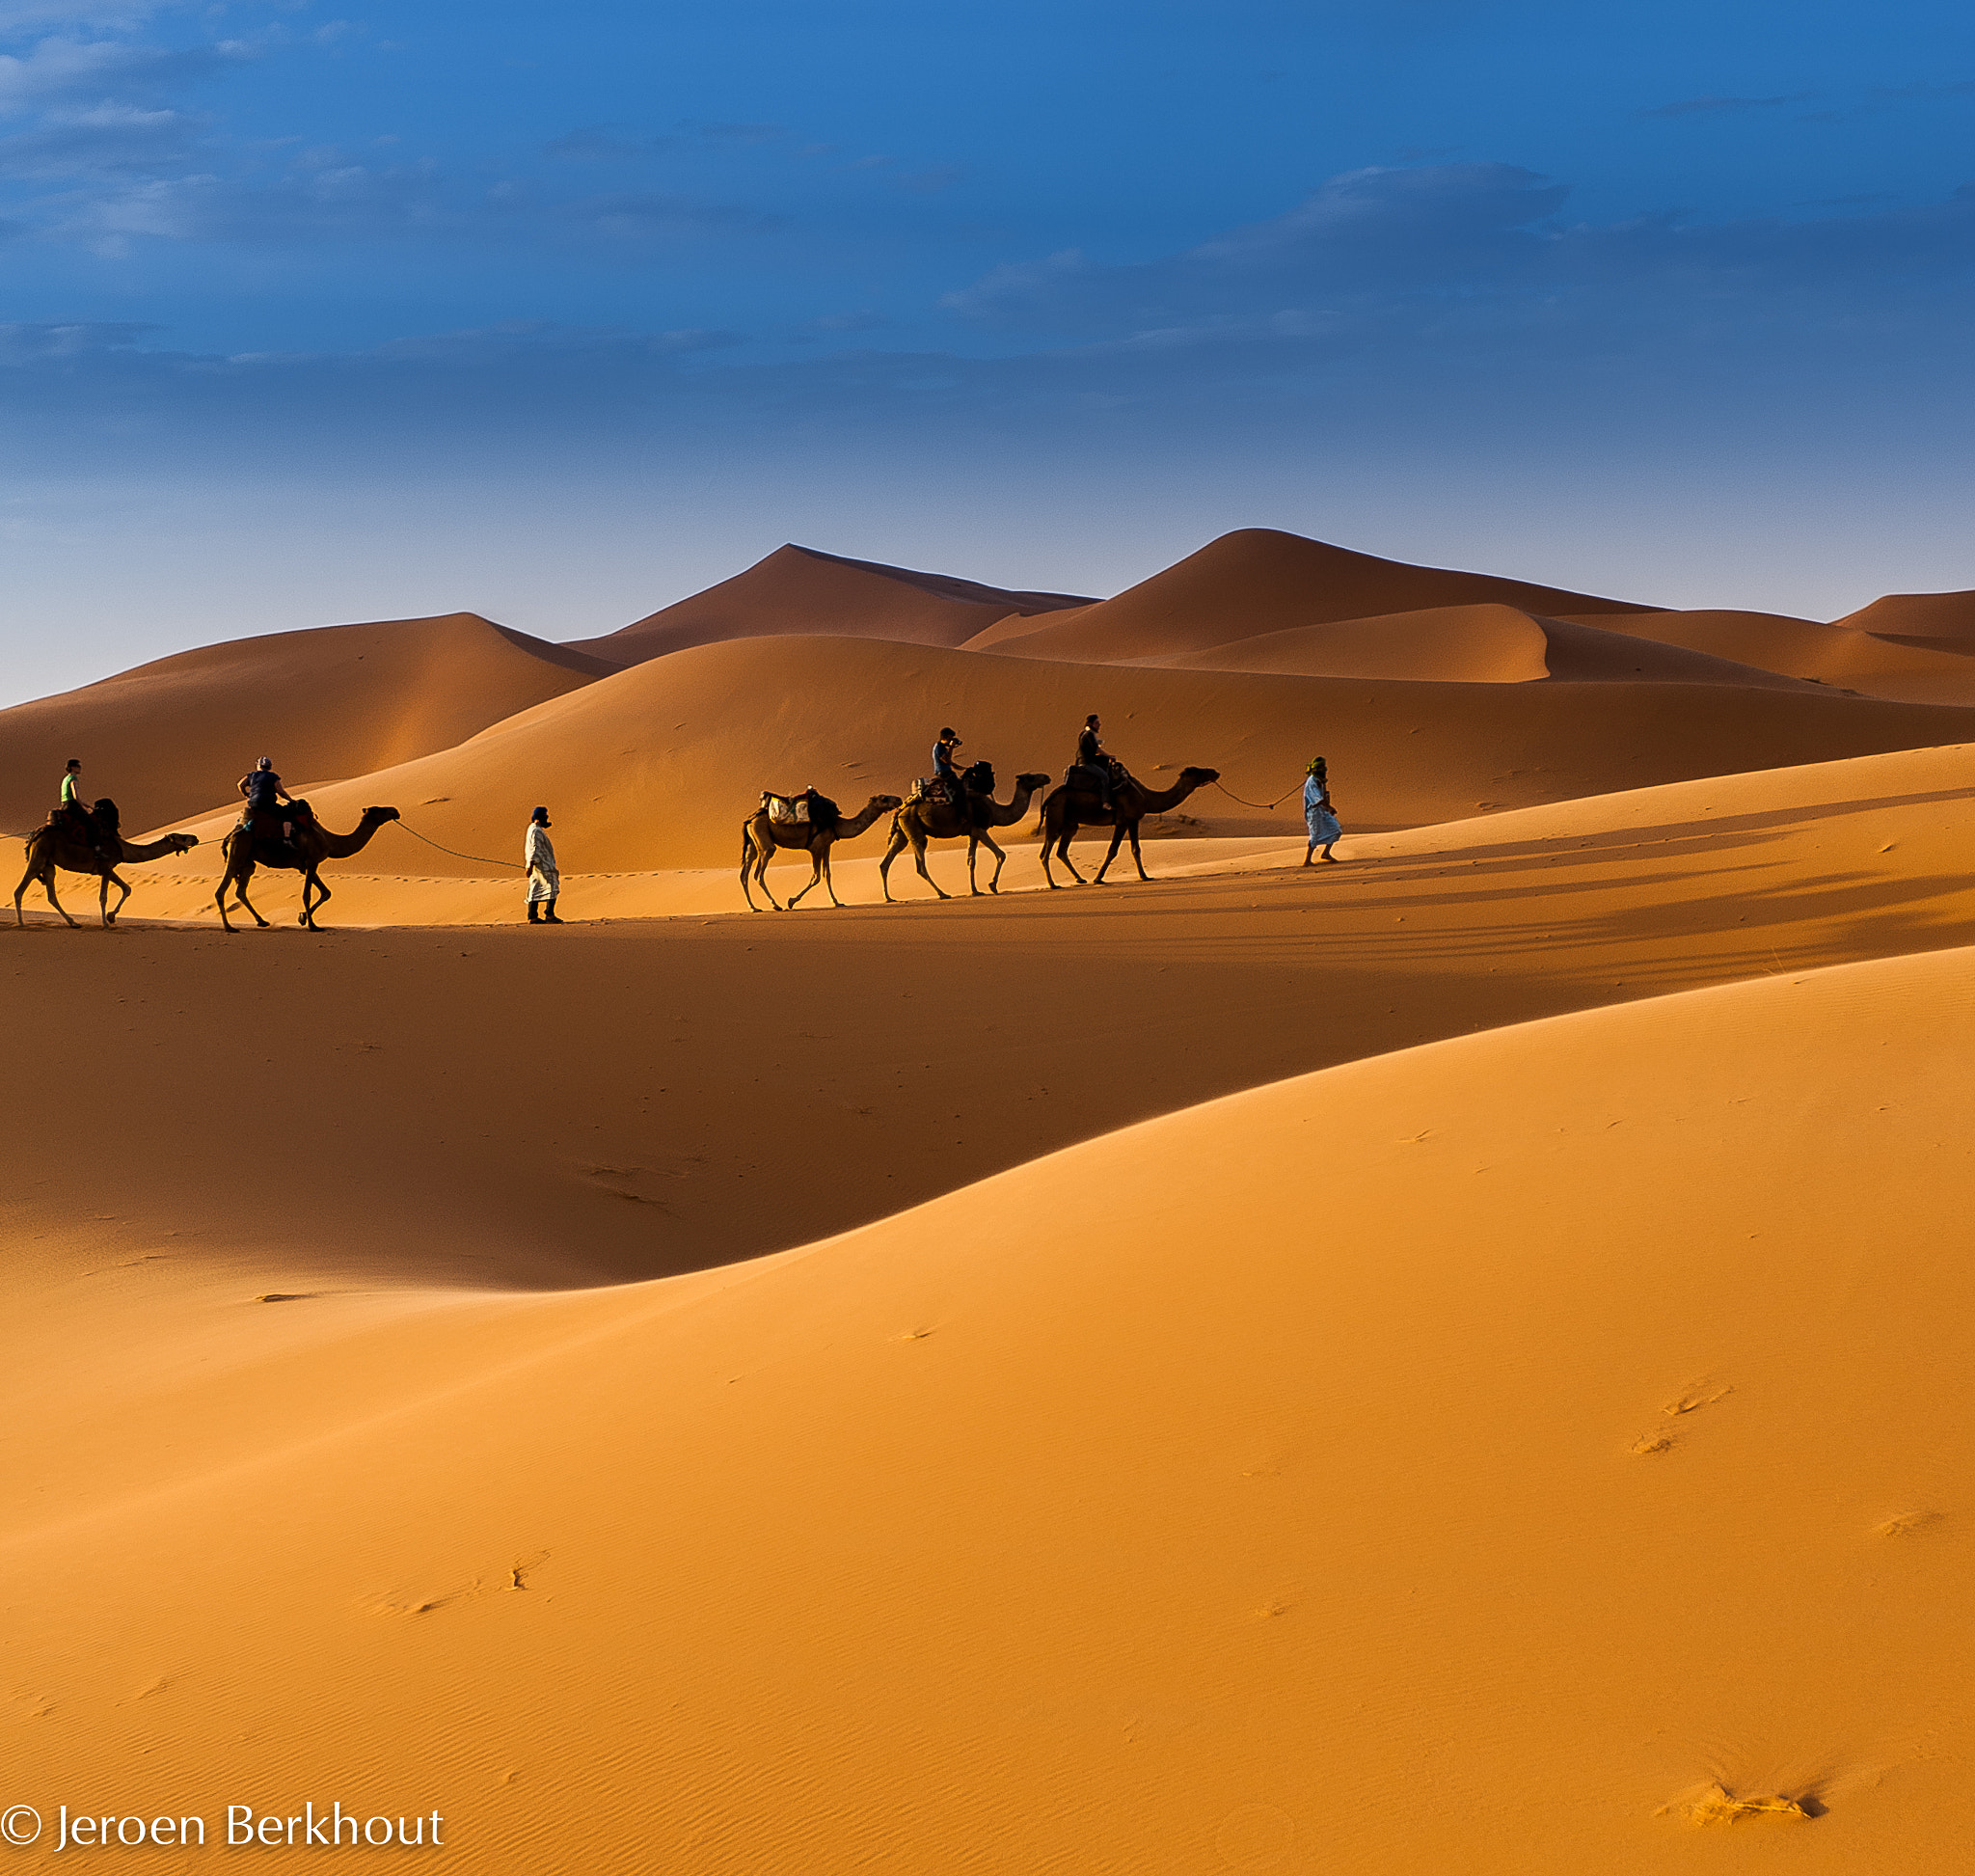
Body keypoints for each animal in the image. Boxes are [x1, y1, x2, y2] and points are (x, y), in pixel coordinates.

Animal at [12, 809, 198, 932]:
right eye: (182, 837)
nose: (195, 838)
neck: (123, 849)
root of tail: (35, 834)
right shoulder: (106, 867)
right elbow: (103, 897)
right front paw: (106, 923)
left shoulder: (108, 868)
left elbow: (127, 888)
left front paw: (111, 917)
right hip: (40, 855)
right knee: (20, 889)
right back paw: (21, 923)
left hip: (49, 863)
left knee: (51, 895)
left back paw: (73, 923)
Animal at [217, 805, 400, 936]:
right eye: (379, 810)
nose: (395, 811)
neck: (330, 841)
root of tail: (231, 833)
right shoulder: (312, 862)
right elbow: (307, 894)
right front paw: (313, 925)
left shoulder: (305, 866)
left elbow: (326, 892)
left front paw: (302, 917)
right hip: (238, 851)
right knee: (221, 890)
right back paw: (229, 927)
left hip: (248, 862)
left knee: (241, 890)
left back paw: (262, 922)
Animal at [743, 794, 904, 911]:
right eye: (884, 798)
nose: (899, 799)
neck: (836, 824)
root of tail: (750, 819)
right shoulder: (816, 847)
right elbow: (816, 877)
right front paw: (791, 901)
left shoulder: (827, 846)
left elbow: (828, 875)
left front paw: (837, 902)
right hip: (763, 835)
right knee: (759, 873)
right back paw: (775, 905)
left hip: (753, 842)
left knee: (745, 873)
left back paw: (754, 907)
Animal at [880, 766, 1058, 908]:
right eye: (1030, 777)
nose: (1046, 777)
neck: (995, 810)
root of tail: (901, 809)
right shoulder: (980, 828)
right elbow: (1001, 854)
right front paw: (992, 885)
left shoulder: (972, 833)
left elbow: (971, 861)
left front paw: (975, 890)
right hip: (913, 827)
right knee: (920, 864)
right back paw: (943, 894)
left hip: (902, 831)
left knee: (886, 862)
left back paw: (889, 898)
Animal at [1035, 762, 1216, 888]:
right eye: (1199, 771)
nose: (1215, 772)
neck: (1147, 797)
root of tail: (1050, 797)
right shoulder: (1125, 821)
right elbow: (1114, 850)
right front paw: (1099, 878)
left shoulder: (1132, 821)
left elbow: (1135, 849)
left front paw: (1144, 876)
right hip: (1056, 816)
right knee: (1046, 851)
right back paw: (1053, 885)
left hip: (1070, 823)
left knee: (1061, 850)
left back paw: (1079, 879)